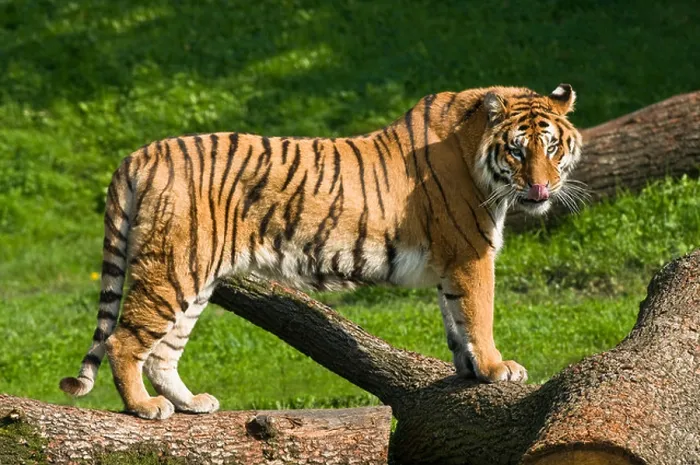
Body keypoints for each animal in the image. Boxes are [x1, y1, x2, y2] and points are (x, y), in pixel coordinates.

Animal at [60, 84, 583, 420]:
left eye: (552, 148)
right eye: (517, 150)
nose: (541, 187)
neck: (477, 155)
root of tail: (139, 154)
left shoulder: (452, 263)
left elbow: (456, 320)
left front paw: (472, 370)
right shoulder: (471, 254)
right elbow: (479, 313)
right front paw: (497, 368)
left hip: (196, 277)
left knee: (164, 351)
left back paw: (190, 403)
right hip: (174, 268)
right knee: (123, 341)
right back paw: (144, 408)